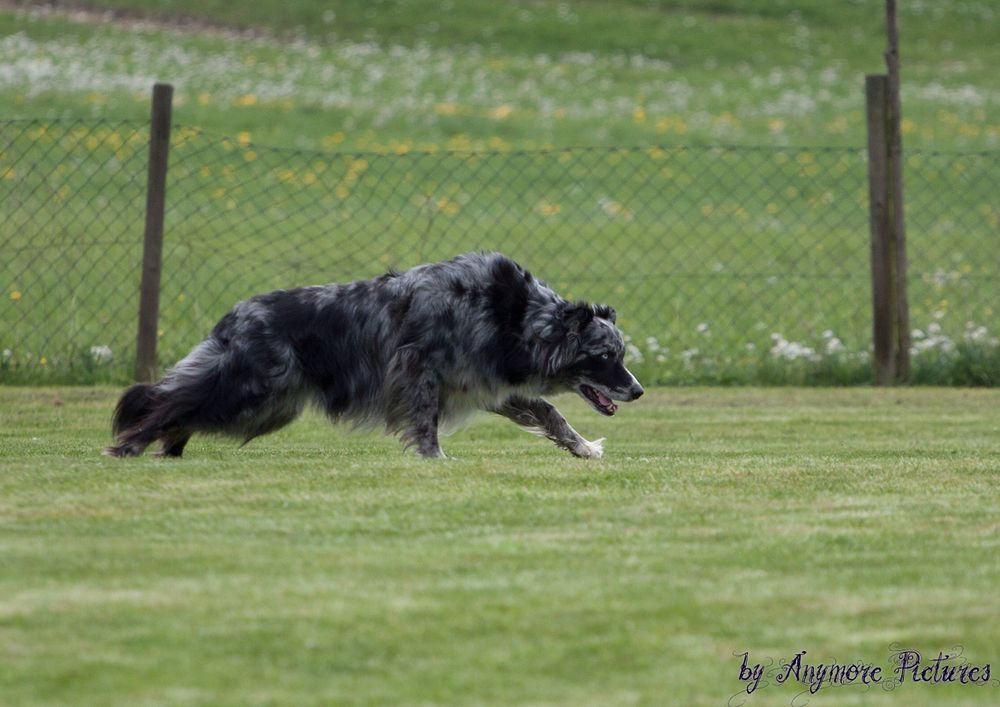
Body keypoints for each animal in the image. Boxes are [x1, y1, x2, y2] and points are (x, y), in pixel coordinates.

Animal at [105, 253, 644, 460]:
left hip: (266, 404)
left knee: (185, 408)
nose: (638, 389)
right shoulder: (417, 369)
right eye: (605, 356)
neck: (515, 317)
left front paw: (583, 448)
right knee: (171, 403)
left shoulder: (485, 384)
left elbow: (550, 412)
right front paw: (433, 458)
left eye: (620, 353)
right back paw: (133, 445)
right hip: (253, 388)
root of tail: (235, 315)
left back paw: (169, 448)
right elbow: (424, 421)